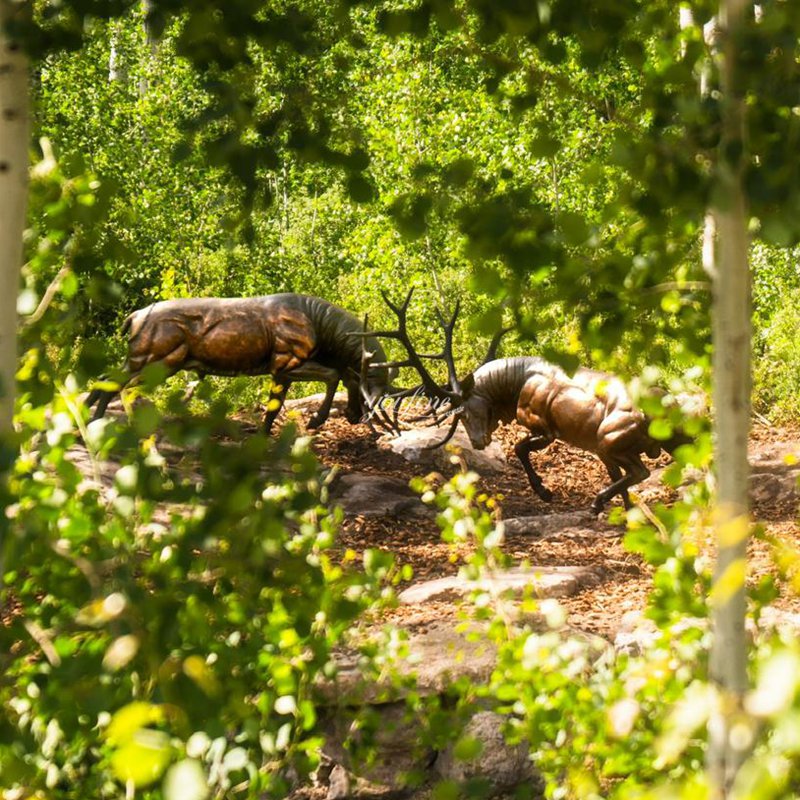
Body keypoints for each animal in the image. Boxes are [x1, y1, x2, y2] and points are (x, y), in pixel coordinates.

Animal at [85, 294, 395, 433]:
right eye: (372, 388)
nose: (357, 416)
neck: (324, 331)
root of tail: (132, 319)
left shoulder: (283, 371)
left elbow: (274, 408)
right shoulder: (285, 362)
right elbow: (332, 375)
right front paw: (316, 420)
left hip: (140, 359)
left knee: (105, 378)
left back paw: (90, 419)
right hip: (159, 361)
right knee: (123, 387)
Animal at [370, 293, 690, 513]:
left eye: (466, 411)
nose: (478, 442)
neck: (513, 387)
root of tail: (660, 413)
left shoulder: (544, 427)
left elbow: (519, 448)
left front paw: (545, 492)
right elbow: (615, 476)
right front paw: (627, 511)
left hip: (609, 440)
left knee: (641, 471)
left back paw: (596, 502)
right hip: (663, 441)